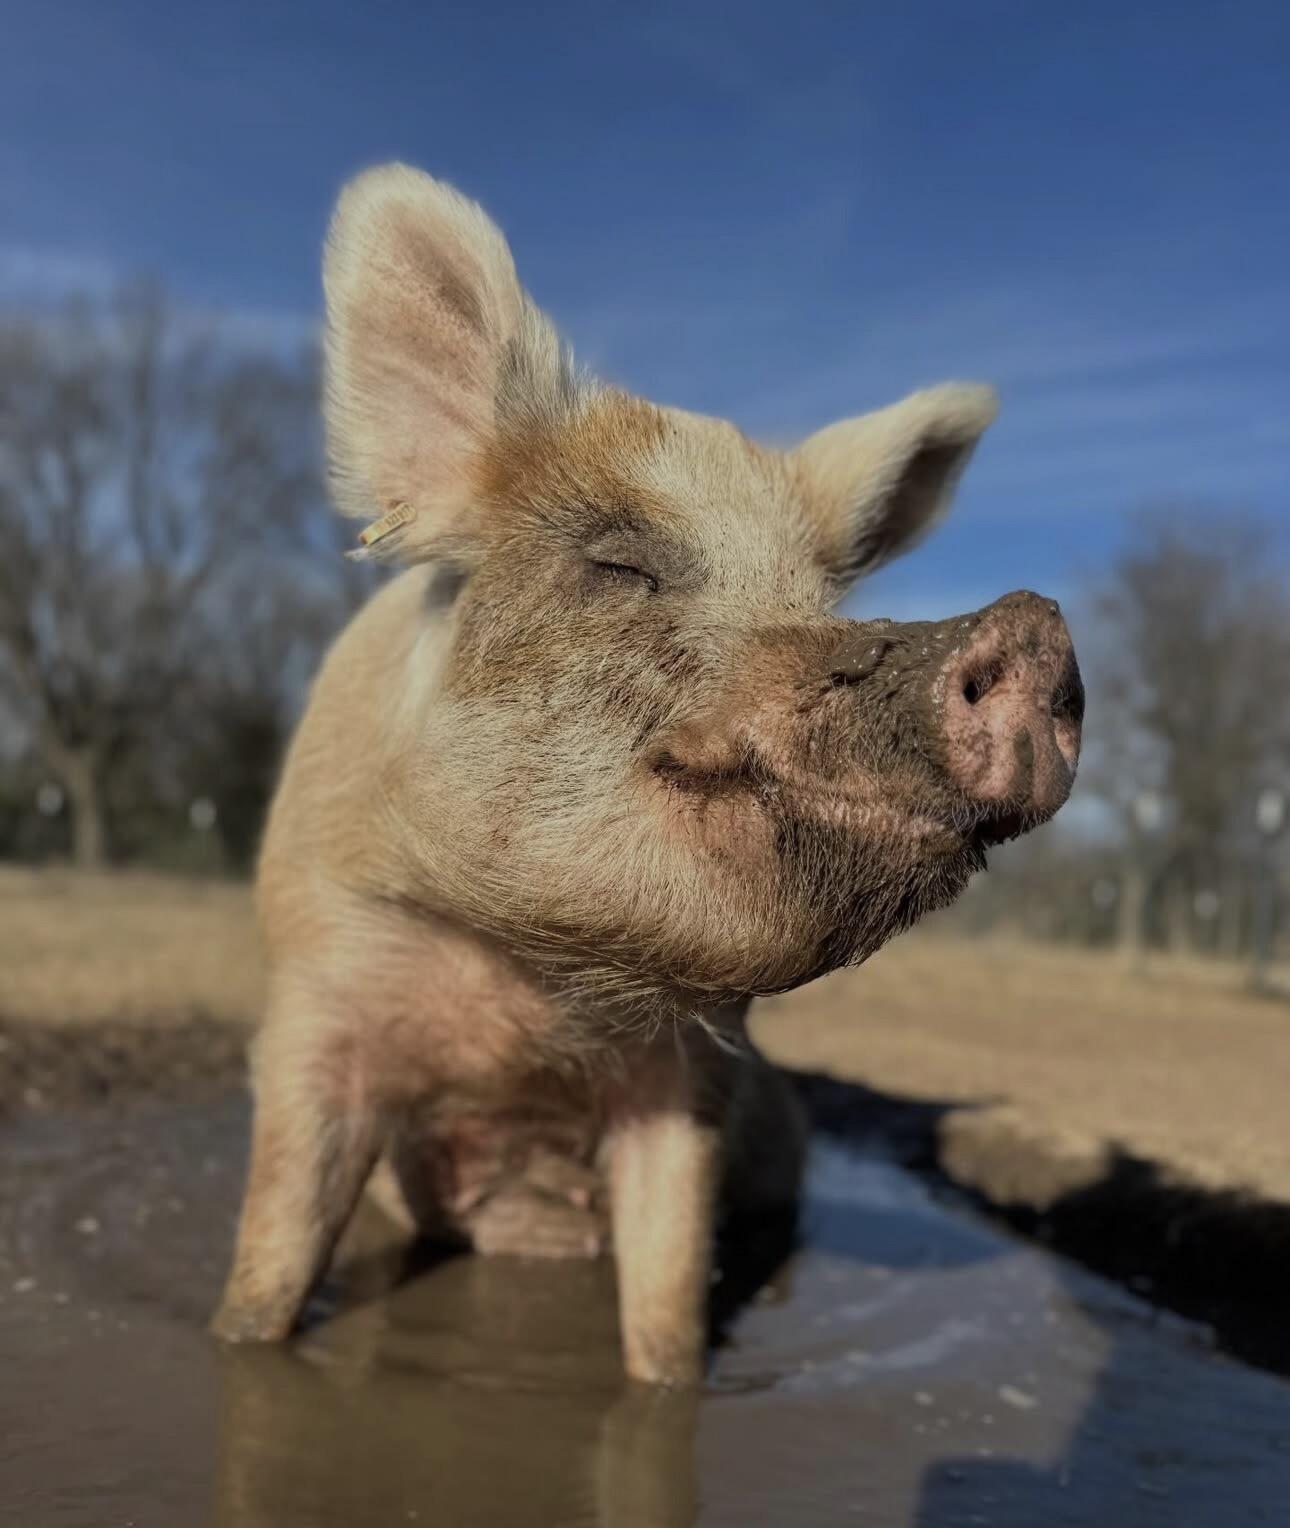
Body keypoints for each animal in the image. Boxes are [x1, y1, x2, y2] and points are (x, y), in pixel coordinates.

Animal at [212, 164, 1083, 1385]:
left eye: (822, 600)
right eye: (620, 564)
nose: (1036, 622)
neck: (529, 993)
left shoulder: (691, 1082)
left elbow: (667, 1305)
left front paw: (667, 1374)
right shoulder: (315, 981)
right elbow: (274, 1255)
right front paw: (241, 1335)